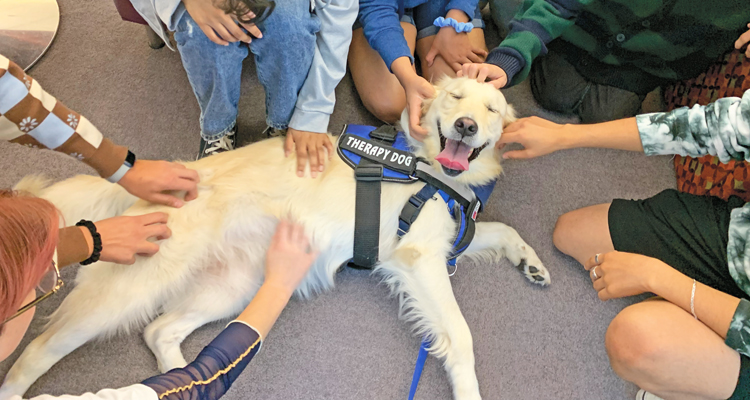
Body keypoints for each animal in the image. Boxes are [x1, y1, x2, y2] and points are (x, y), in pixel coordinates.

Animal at [0, 76, 552, 398]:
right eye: (456, 98)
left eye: (493, 110)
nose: (466, 125)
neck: (429, 169)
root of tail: (172, 176)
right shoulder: (417, 257)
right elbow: (460, 336)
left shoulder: (445, 242)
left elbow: (502, 228)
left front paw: (531, 263)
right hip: (128, 291)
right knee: (35, 352)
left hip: (233, 286)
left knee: (160, 331)